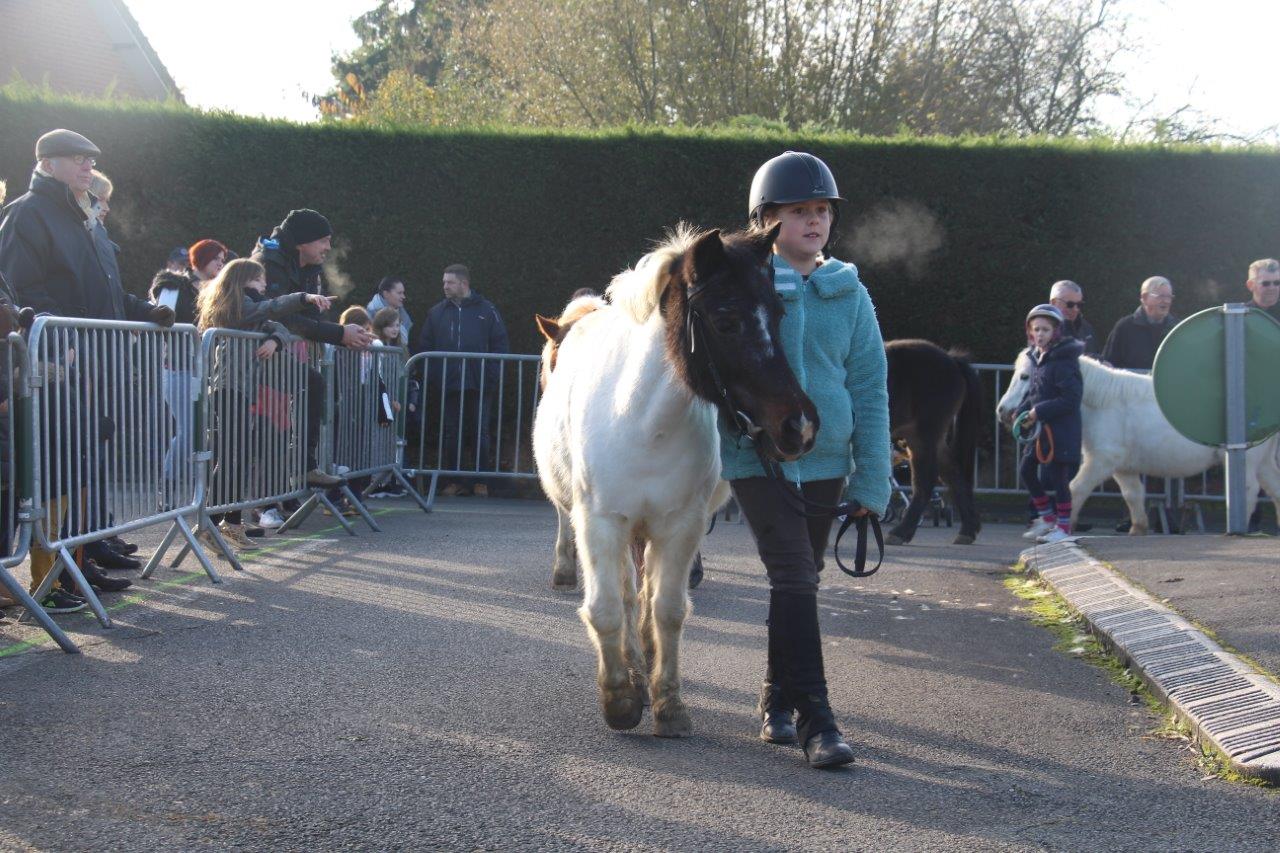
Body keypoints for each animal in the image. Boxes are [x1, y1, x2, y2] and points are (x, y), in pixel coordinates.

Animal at [532, 222, 819, 732]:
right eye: (726, 321)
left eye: (779, 313)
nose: (798, 427)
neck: (641, 420)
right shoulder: (601, 522)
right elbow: (609, 608)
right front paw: (621, 698)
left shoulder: (681, 526)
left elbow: (666, 609)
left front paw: (668, 703)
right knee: (628, 596)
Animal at [885, 335, 983, 540]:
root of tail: (952, 360)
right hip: (928, 438)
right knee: (953, 473)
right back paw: (968, 529)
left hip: (923, 436)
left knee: (925, 481)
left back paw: (902, 531)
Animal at [998, 348, 1280, 527]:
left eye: (1025, 376)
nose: (1002, 411)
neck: (1105, 403)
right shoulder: (1123, 468)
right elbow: (1133, 496)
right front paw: (1138, 529)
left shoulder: (1102, 461)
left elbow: (1075, 489)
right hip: (1263, 462)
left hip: (1247, 460)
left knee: (1249, 492)